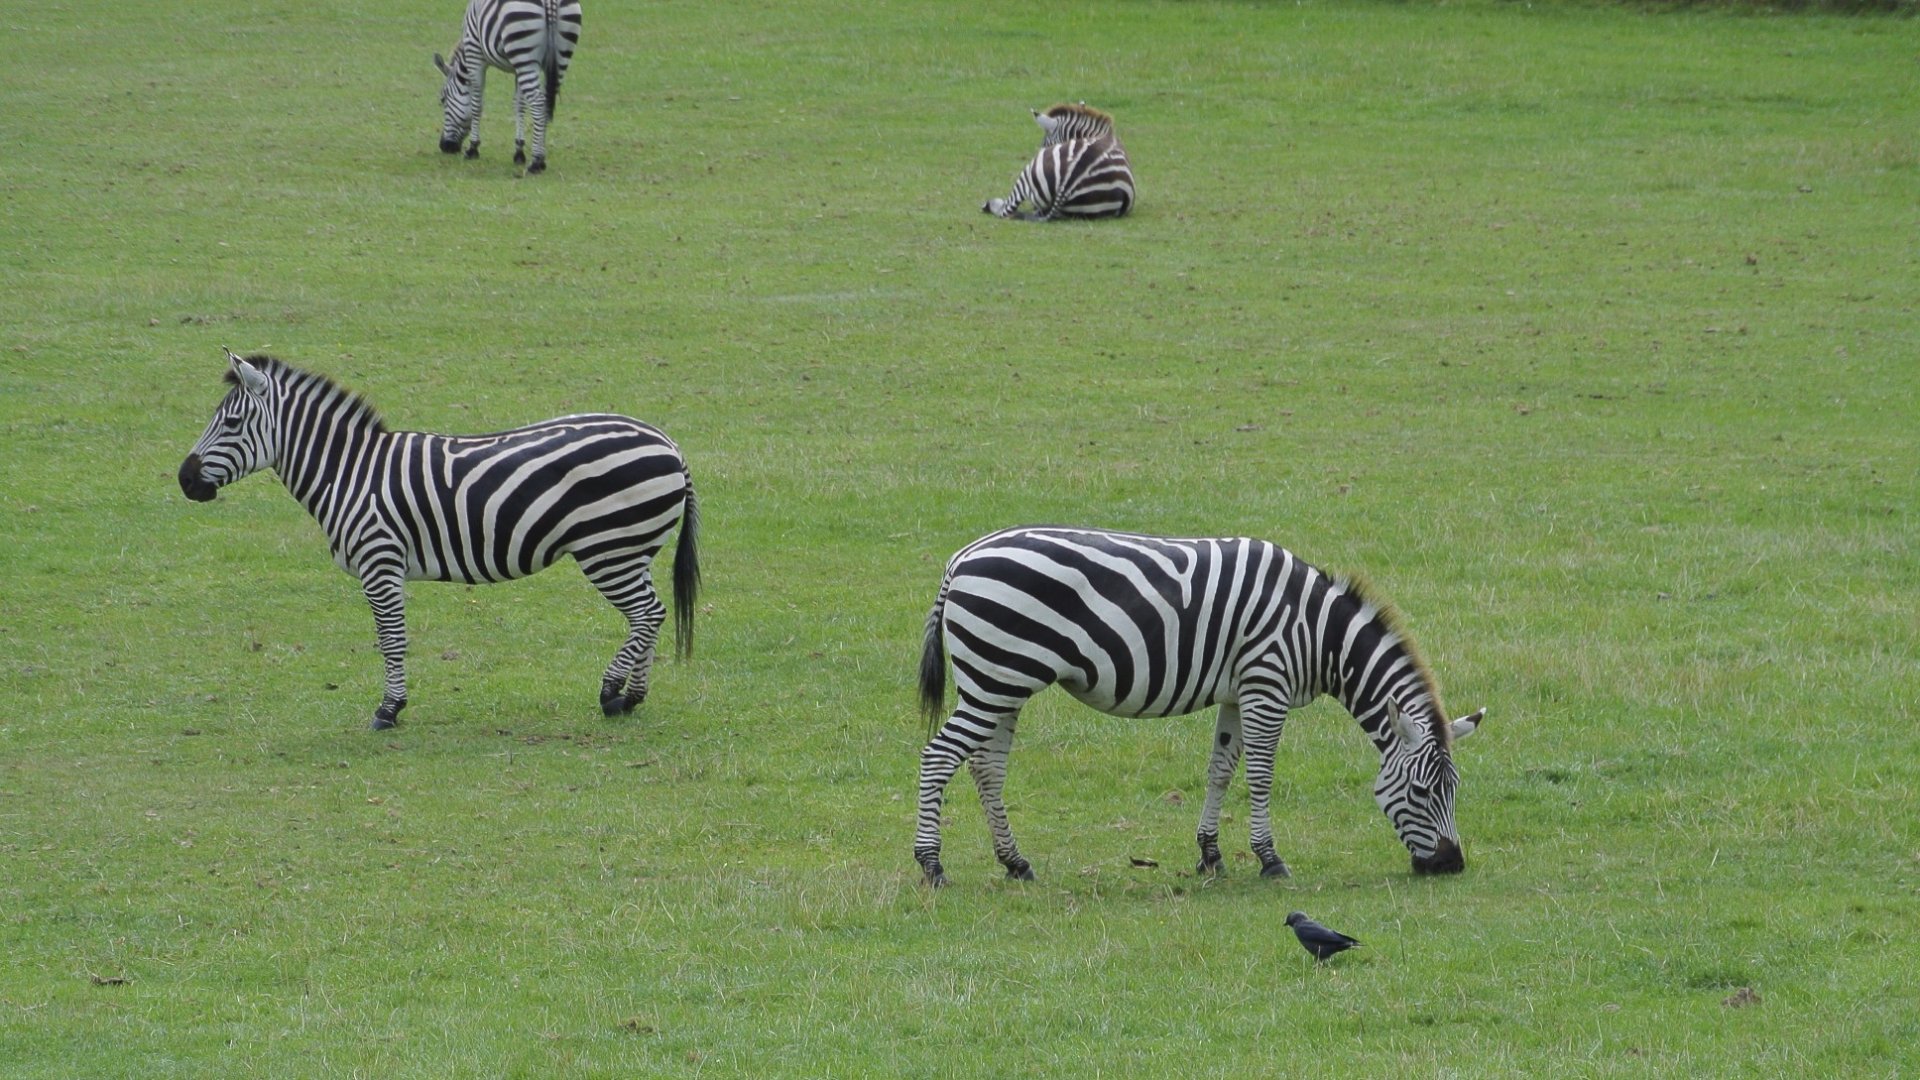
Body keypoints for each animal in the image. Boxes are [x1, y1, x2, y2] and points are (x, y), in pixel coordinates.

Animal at [177, 350, 697, 730]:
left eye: (230, 424)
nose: (184, 480)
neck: (349, 473)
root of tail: (669, 444)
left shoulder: (380, 562)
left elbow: (391, 640)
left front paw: (389, 710)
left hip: (608, 549)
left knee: (647, 613)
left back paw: (611, 694)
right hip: (632, 549)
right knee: (648, 615)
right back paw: (633, 698)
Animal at [434, 0, 583, 173]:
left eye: (443, 99)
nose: (445, 147)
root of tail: (550, 2)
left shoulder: (475, 53)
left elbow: (477, 104)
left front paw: (473, 148)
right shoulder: (517, 70)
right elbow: (519, 105)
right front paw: (519, 151)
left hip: (523, 52)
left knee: (538, 102)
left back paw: (536, 162)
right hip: (558, 56)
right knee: (546, 102)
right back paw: (541, 158)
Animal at [914, 526, 1487, 886]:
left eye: (1455, 789)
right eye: (1421, 791)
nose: (1452, 865)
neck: (1317, 632)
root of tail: (960, 559)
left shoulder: (1239, 690)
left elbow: (1221, 770)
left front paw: (1210, 855)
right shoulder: (1267, 683)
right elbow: (1260, 774)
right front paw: (1270, 859)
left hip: (1003, 682)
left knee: (986, 767)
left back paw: (1015, 863)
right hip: (995, 678)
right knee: (938, 757)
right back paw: (932, 866)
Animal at [982, 103, 1135, 221]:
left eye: (1044, 144)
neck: (1100, 135)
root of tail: (1067, 184)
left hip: (1028, 171)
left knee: (1006, 209)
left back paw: (988, 204)